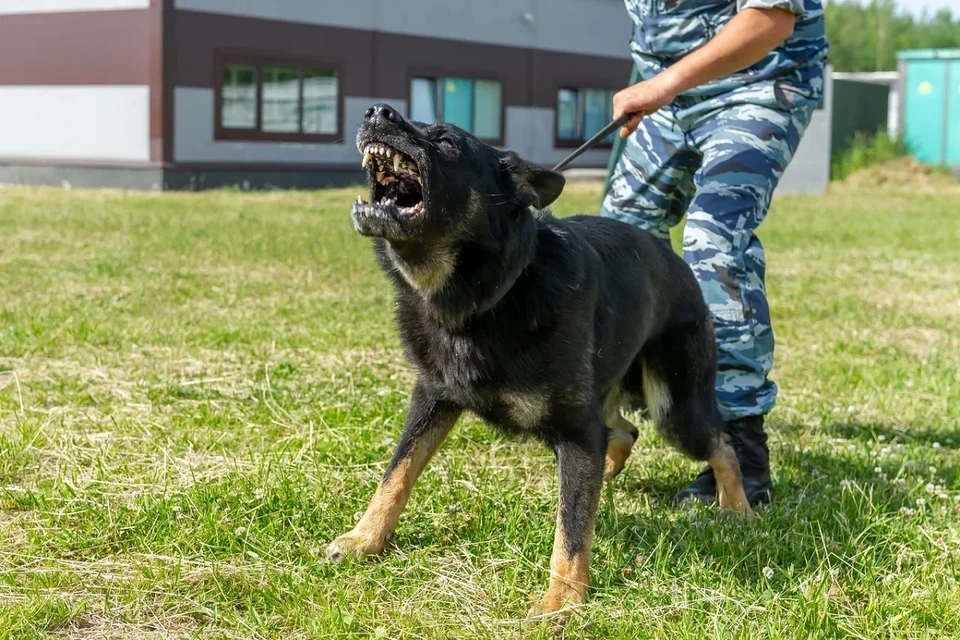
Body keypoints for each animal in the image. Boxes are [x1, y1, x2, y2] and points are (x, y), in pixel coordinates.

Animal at [330, 104, 756, 620]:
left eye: (447, 142)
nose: (377, 111)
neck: (489, 295)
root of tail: (673, 258)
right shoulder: (432, 397)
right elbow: (397, 471)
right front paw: (366, 538)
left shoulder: (575, 430)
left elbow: (571, 527)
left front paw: (563, 598)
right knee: (623, 432)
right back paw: (606, 476)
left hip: (674, 409)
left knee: (720, 442)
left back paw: (737, 509)